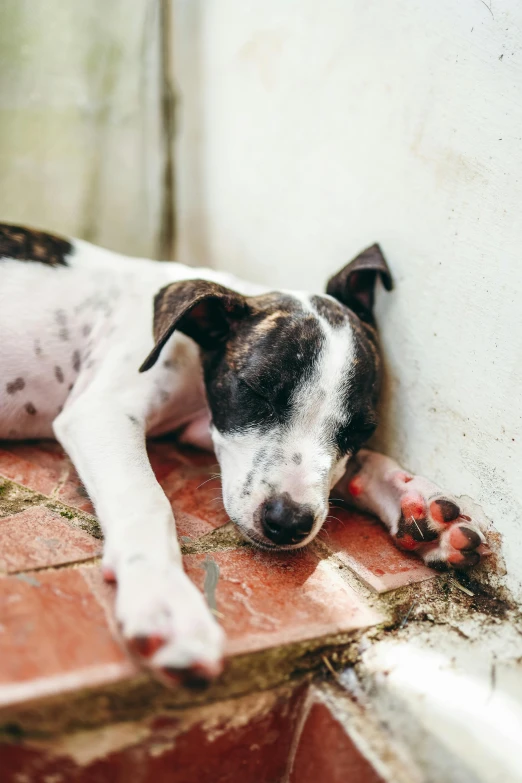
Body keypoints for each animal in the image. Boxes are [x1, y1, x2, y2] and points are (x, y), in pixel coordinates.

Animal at [0, 225, 488, 688]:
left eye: (359, 428)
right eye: (257, 391)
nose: (288, 523)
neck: (194, 349)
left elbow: (362, 462)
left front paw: (418, 504)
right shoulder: (102, 412)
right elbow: (147, 499)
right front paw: (164, 598)